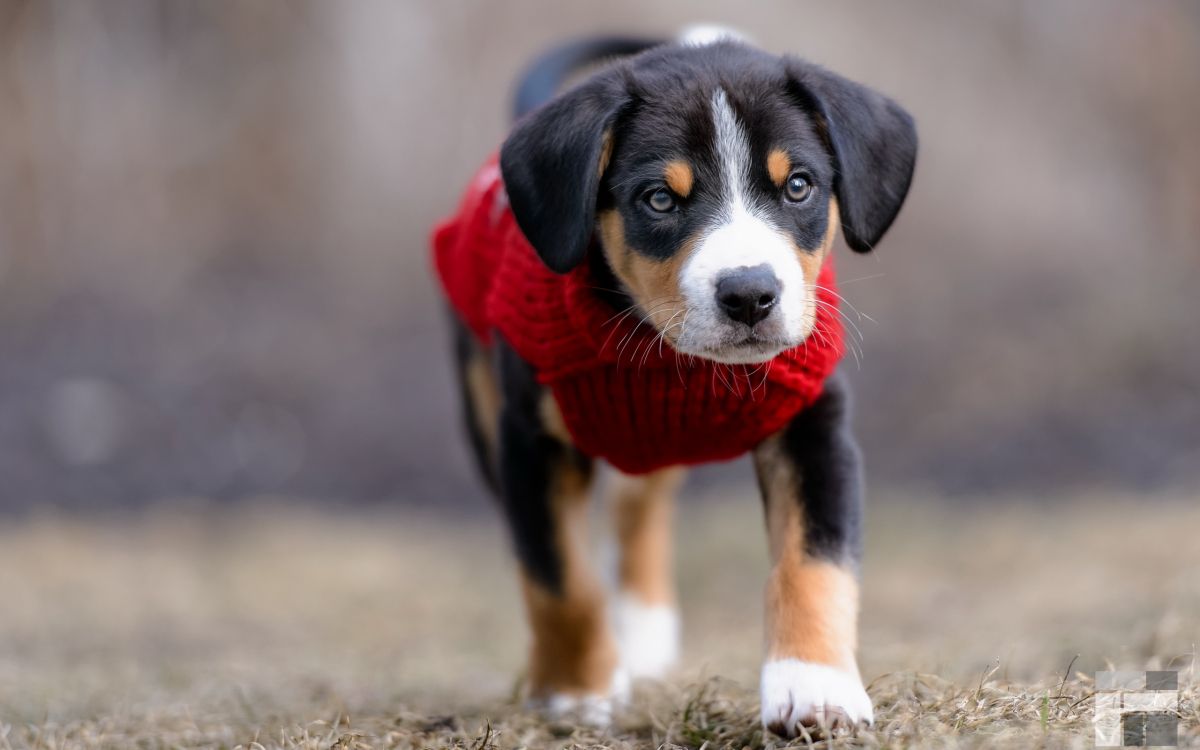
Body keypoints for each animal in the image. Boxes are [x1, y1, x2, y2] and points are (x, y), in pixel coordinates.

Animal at [434, 32, 916, 734]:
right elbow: (559, 576)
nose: (749, 294)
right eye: (659, 199)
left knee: (639, 510)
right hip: (484, 406)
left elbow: (814, 563)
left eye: (798, 186)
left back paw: (643, 635)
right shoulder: (530, 443)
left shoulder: (814, 428)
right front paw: (576, 693)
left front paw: (815, 687)